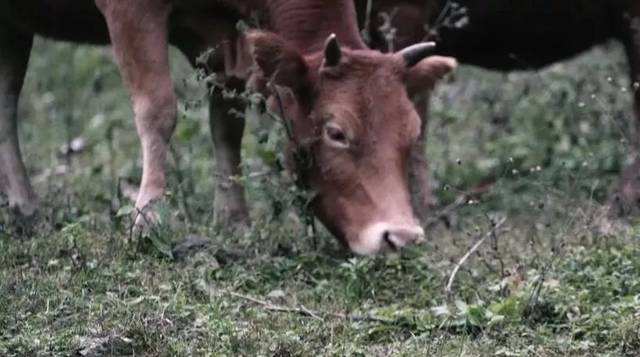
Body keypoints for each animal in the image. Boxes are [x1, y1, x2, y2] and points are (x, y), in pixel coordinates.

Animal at [0, 1, 456, 254]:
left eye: (412, 133)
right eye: (337, 133)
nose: (401, 236)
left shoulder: (222, 37)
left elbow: (226, 123)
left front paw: (234, 218)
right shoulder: (130, 10)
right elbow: (158, 109)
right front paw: (148, 219)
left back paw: (23, 206)